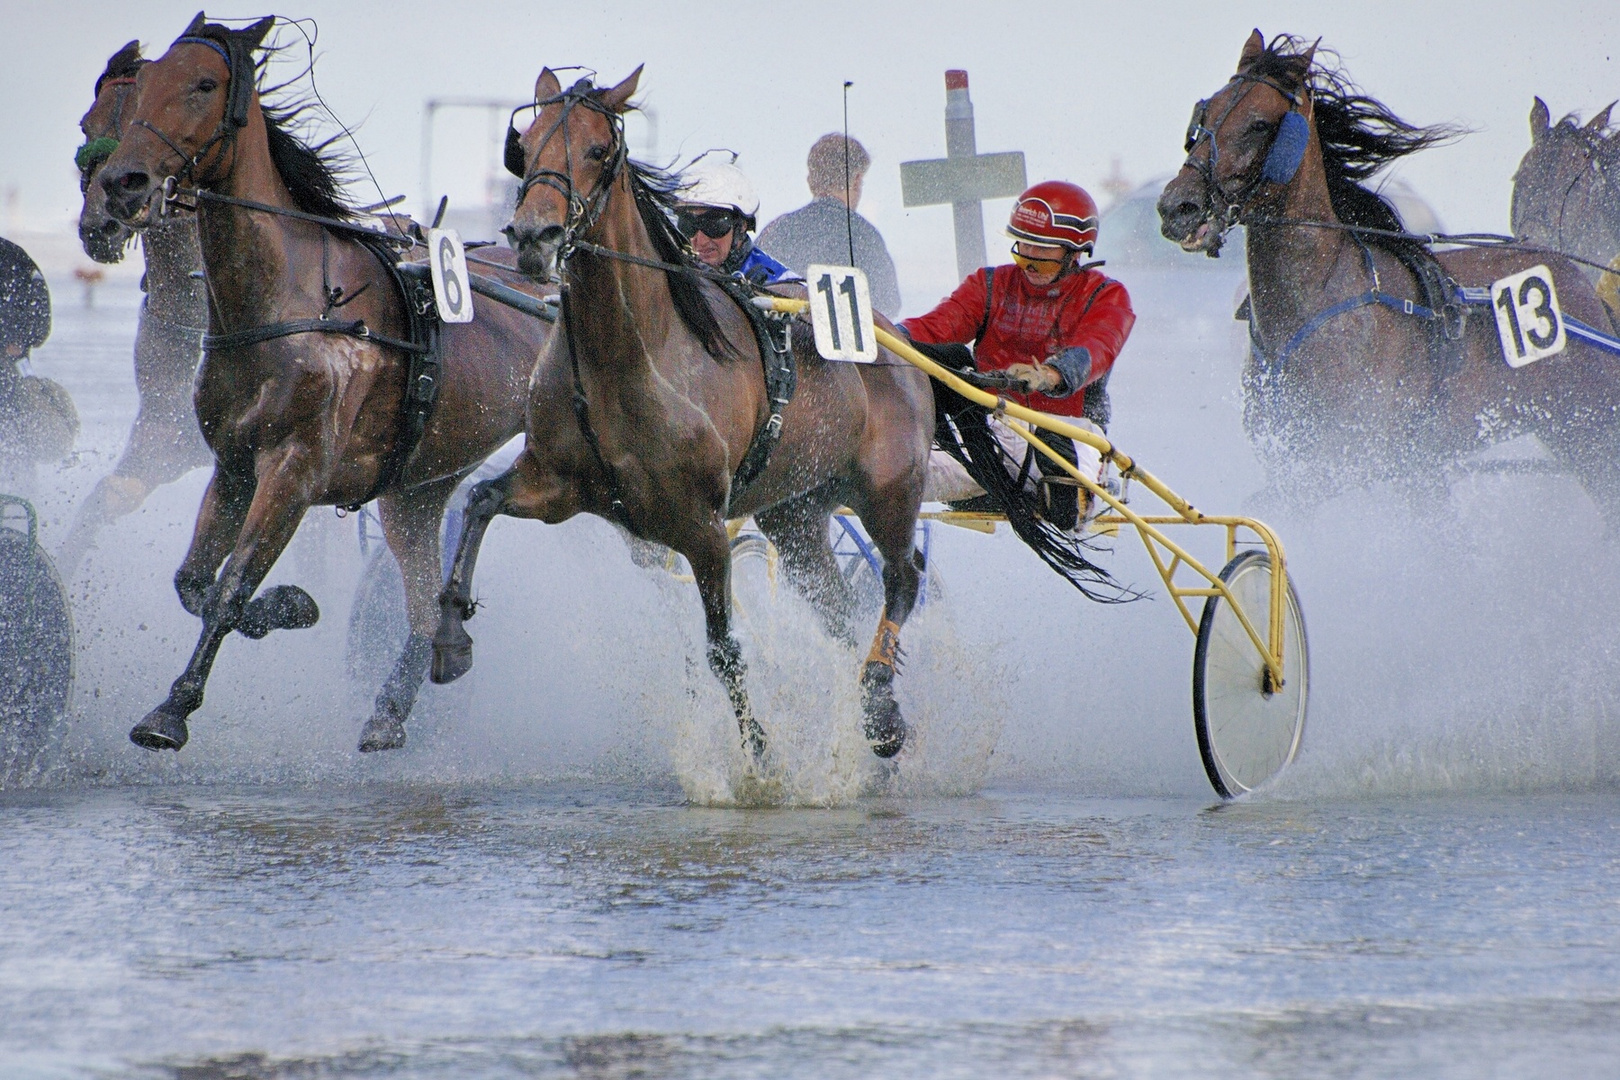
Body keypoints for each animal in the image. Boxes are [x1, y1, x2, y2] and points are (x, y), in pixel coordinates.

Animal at [93, 14, 550, 761]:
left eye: (204, 83)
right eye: (147, 82)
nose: (121, 183)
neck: (290, 300)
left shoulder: (295, 468)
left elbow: (230, 588)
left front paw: (171, 710)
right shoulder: (234, 464)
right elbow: (195, 582)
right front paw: (289, 606)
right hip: (416, 491)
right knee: (421, 602)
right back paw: (396, 703)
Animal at [430, 65, 939, 761]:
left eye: (598, 150)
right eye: (524, 147)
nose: (535, 237)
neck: (629, 359)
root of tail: (899, 340)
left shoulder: (702, 528)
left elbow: (723, 649)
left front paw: (760, 756)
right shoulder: (558, 486)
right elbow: (481, 500)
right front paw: (450, 636)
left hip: (888, 489)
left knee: (902, 577)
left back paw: (881, 705)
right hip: (798, 511)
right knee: (835, 608)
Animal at [1159, 30, 1620, 527]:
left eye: (1260, 124)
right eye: (1205, 112)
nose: (1178, 206)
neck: (1319, 298)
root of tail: (1584, 290)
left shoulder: (1354, 459)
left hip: (1590, 432)